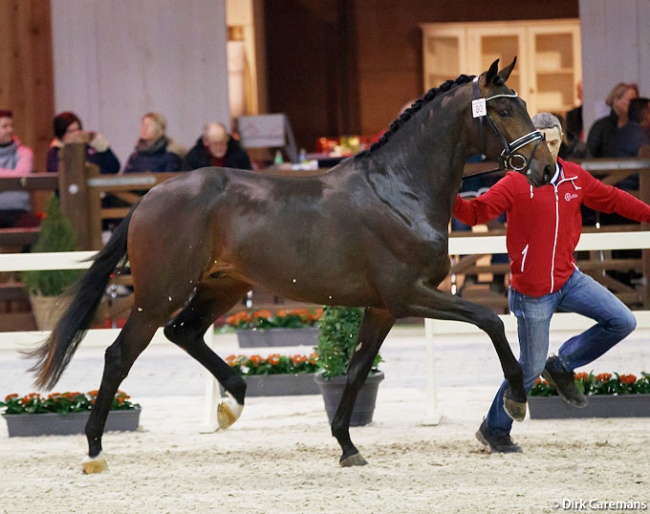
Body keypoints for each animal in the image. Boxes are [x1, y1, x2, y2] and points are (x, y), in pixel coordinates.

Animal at [26, 58, 552, 470]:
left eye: (523, 104)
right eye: (504, 109)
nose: (545, 168)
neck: (398, 189)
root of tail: (150, 197)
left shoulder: (383, 307)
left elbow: (357, 369)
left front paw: (347, 445)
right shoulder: (409, 295)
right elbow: (490, 320)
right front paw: (516, 399)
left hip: (223, 287)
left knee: (185, 332)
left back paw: (234, 401)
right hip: (160, 294)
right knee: (120, 355)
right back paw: (95, 449)